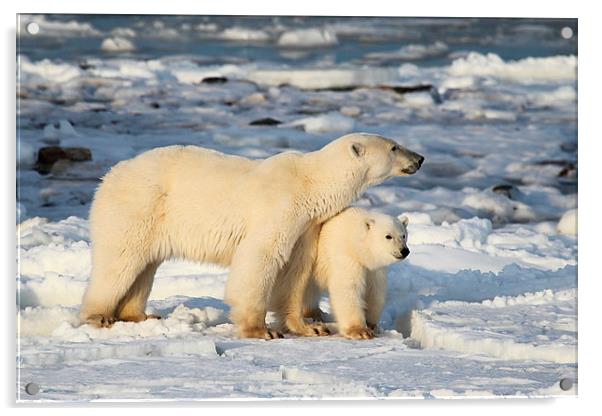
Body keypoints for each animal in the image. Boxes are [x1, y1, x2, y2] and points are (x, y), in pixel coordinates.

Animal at [78, 133, 422, 338]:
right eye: (393, 147)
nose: (419, 158)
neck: (309, 182)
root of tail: (111, 174)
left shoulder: (306, 225)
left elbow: (295, 271)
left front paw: (308, 327)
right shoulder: (280, 207)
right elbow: (260, 257)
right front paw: (260, 330)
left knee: (145, 266)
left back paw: (140, 316)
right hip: (137, 207)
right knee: (119, 261)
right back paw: (99, 316)